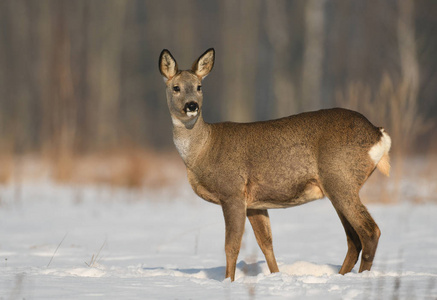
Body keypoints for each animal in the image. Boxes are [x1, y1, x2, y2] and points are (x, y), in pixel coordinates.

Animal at [158, 48, 390, 282]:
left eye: (199, 86)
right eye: (176, 87)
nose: (192, 106)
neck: (202, 151)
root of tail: (377, 133)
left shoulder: (232, 192)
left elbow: (231, 246)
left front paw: (228, 282)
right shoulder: (255, 203)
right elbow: (266, 243)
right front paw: (276, 276)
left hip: (341, 179)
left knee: (370, 231)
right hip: (337, 186)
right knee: (353, 239)